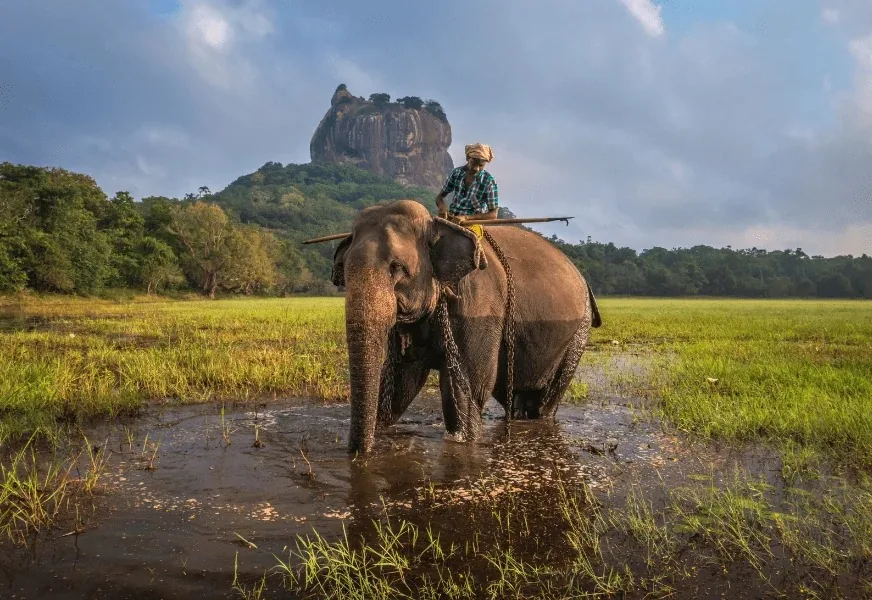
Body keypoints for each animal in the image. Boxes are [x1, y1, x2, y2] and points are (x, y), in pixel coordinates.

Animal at [330, 199, 602, 455]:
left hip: (578, 333)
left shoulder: (478, 305)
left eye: (397, 267)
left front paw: (463, 440)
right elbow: (400, 383)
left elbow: (464, 391)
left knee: (543, 401)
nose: (358, 453)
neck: (436, 225)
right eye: (344, 269)